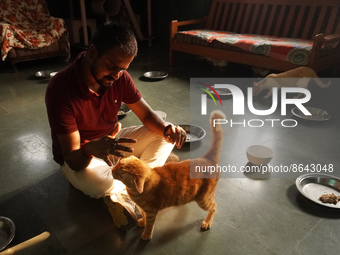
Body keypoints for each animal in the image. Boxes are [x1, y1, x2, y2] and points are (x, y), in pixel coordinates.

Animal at [111, 110, 226, 240]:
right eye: (118, 164)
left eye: (121, 174)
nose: (112, 170)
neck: (134, 191)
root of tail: (207, 158)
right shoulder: (144, 209)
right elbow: (144, 216)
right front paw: (142, 222)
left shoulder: (151, 211)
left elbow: (149, 224)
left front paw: (146, 234)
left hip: (204, 199)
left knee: (214, 206)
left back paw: (207, 222)